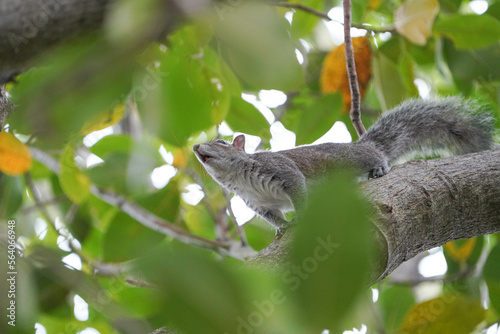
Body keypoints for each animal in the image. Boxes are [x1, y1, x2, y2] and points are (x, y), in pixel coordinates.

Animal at [193, 98, 494, 231]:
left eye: (221, 141)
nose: (195, 148)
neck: (241, 178)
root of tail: (364, 144)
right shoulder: (257, 203)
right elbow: (273, 217)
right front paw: (283, 228)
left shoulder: (281, 169)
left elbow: (297, 187)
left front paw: (300, 216)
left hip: (350, 159)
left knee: (376, 157)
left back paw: (379, 167)